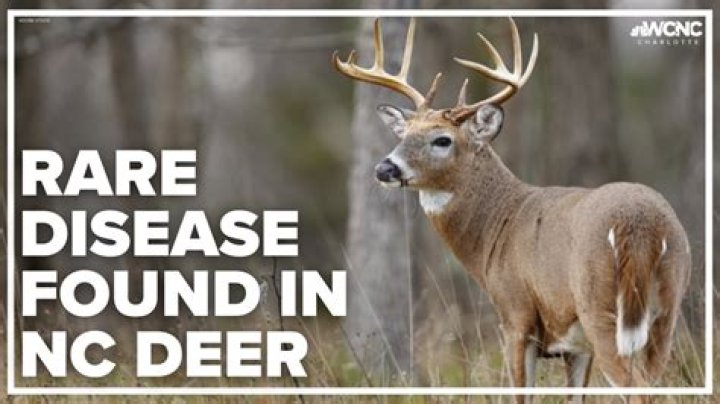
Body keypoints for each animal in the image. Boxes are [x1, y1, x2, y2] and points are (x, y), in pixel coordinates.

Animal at [333, 17, 690, 403]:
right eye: (403, 135)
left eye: (442, 139)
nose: (384, 168)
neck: (497, 227)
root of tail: (641, 226)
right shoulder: (575, 345)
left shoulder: (515, 314)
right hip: (666, 310)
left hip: (600, 307)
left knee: (637, 386)